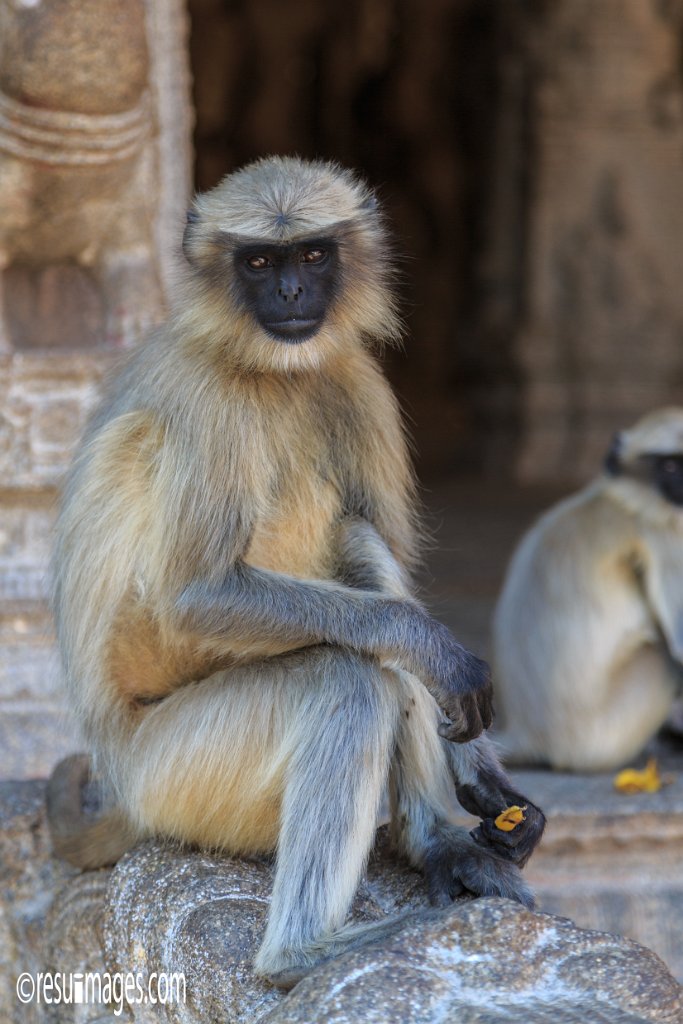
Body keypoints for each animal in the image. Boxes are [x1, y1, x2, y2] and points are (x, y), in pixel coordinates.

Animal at [48, 155, 544, 987]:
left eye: (311, 256)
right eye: (258, 262)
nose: (288, 294)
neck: (267, 369)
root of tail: (122, 780)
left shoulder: (355, 378)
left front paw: (483, 781)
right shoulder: (210, 401)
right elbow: (195, 599)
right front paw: (441, 655)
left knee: (360, 548)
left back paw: (431, 842)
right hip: (173, 770)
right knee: (347, 678)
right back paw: (301, 953)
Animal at [493, 403, 683, 770]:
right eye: (670, 465)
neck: (624, 500)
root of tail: (528, 734)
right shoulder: (666, 536)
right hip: (598, 733)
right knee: (660, 655)